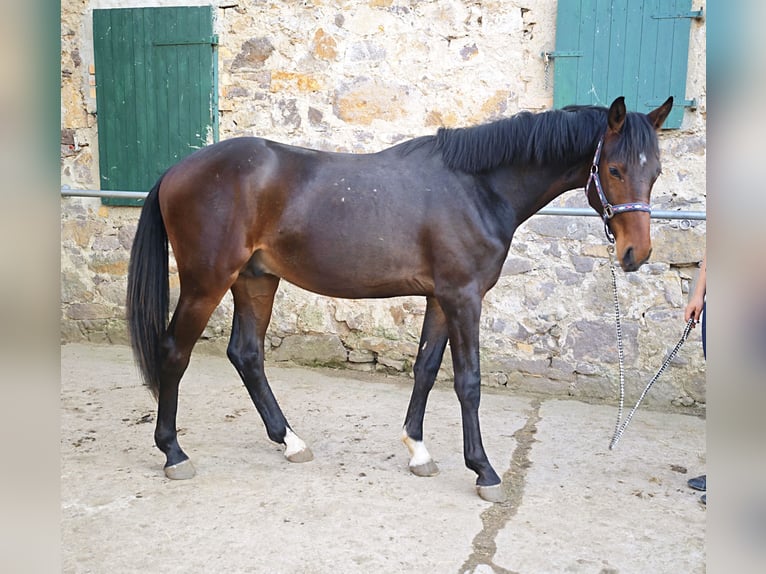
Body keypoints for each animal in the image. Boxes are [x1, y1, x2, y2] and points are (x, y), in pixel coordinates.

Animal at [127, 96, 673, 502]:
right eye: (615, 169)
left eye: (657, 172)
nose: (635, 254)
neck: (477, 187)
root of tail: (176, 170)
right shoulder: (463, 297)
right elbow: (468, 382)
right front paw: (484, 470)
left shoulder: (439, 298)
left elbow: (426, 368)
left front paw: (418, 450)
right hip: (207, 281)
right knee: (174, 351)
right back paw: (174, 453)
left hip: (255, 280)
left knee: (246, 354)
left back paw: (290, 441)